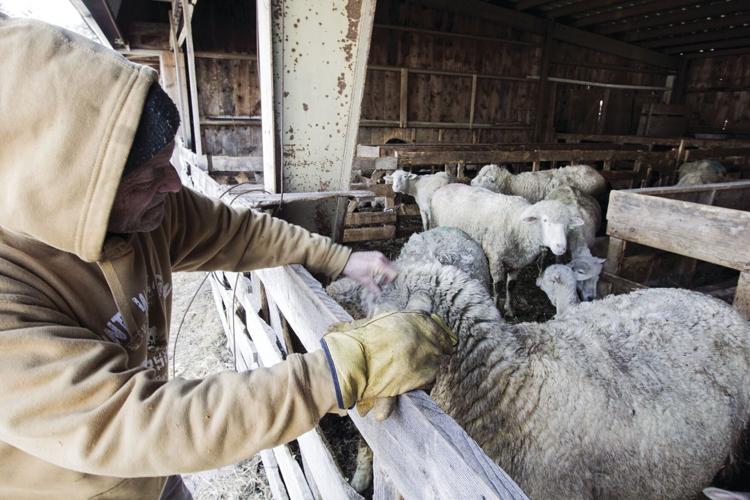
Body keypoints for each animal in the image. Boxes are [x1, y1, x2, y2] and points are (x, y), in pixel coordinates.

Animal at [430, 183, 583, 315]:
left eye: (567, 225)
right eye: (545, 220)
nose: (561, 247)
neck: (519, 225)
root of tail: (445, 186)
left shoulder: (518, 262)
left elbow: (511, 286)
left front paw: (509, 309)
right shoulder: (495, 259)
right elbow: (498, 287)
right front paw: (497, 308)